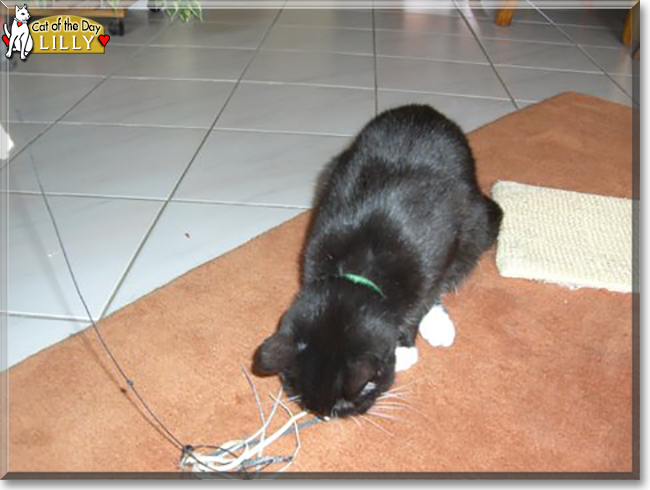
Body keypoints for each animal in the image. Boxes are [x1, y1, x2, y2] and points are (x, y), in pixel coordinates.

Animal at [251, 103, 498, 418]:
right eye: (304, 402)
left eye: (345, 403)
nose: (325, 416)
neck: (361, 268)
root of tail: (424, 109)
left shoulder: (436, 249)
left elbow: (424, 297)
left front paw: (405, 346)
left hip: (476, 221)